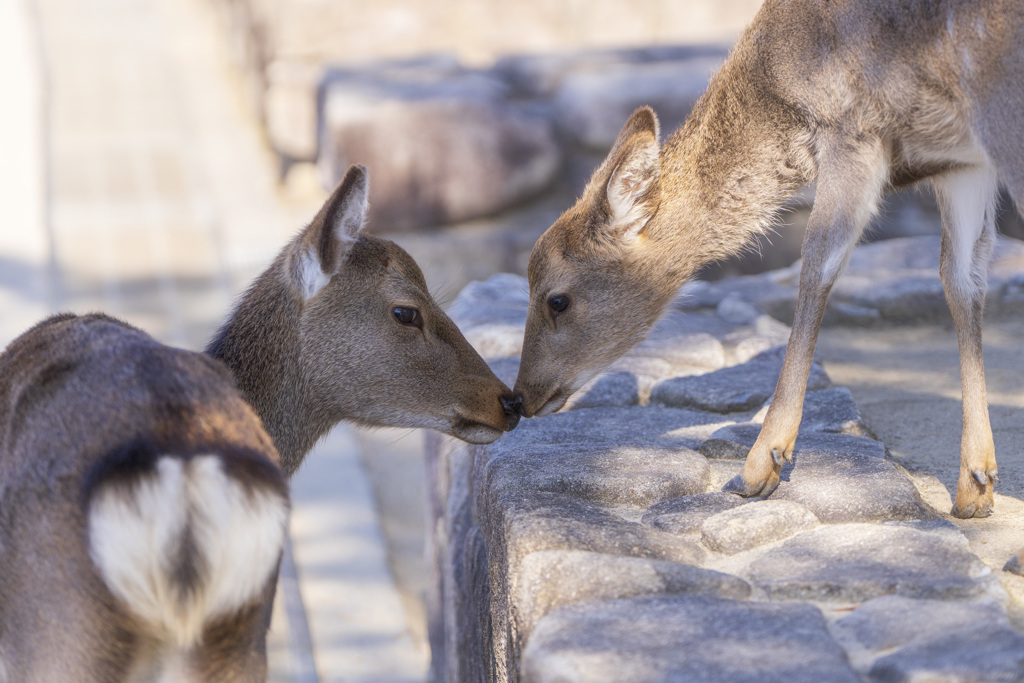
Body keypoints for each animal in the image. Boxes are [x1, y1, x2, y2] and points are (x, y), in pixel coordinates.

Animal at [516, 0, 1019, 557]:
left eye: (557, 299)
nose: (518, 396)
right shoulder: (959, 163)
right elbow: (962, 278)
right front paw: (974, 486)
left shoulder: (852, 131)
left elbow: (817, 262)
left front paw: (760, 466)